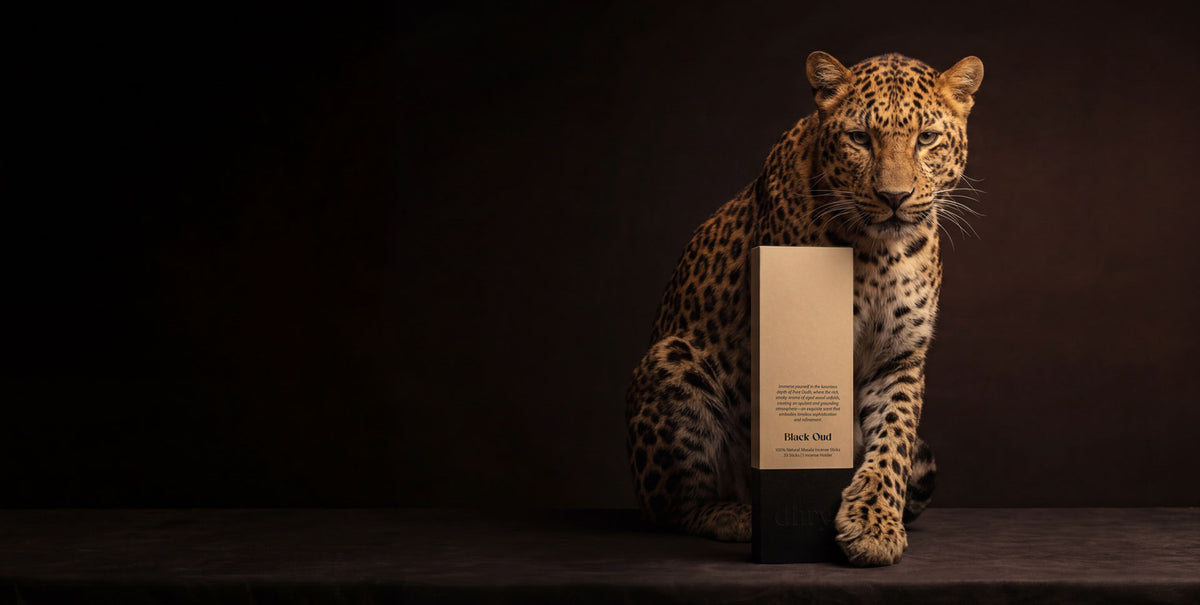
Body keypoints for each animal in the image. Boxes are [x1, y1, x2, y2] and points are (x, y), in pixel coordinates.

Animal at [624, 51, 983, 566]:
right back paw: (736, 515)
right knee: (671, 507)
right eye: (860, 138)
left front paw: (873, 522)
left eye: (926, 138)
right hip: (670, 361)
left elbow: (894, 438)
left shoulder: (899, 355)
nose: (894, 197)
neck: (883, 252)